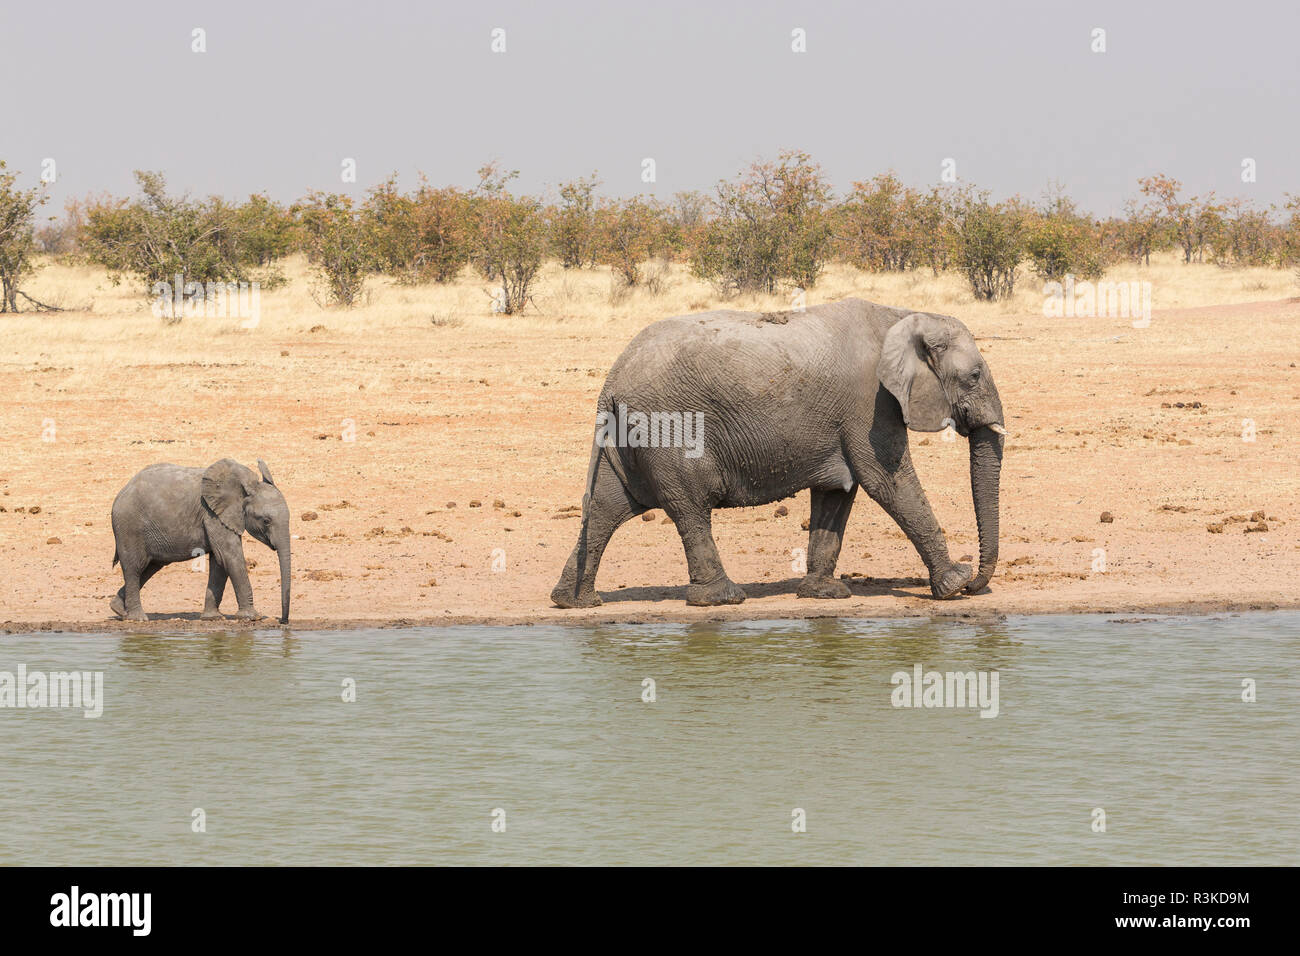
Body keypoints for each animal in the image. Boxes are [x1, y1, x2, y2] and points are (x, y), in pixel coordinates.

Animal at [111, 460, 292, 624]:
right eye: (266, 521)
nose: (283, 621)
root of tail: (122, 492)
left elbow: (219, 562)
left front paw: (213, 618)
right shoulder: (212, 514)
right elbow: (229, 557)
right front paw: (252, 617)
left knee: (150, 567)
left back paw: (119, 610)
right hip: (129, 526)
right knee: (135, 568)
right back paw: (138, 619)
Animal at [548, 299, 1003, 608]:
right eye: (973, 376)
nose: (978, 584)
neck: (904, 316)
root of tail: (611, 380)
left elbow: (838, 493)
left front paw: (824, 594)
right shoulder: (869, 404)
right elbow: (888, 482)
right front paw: (954, 584)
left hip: (628, 437)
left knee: (605, 508)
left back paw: (574, 601)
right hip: (668, 429)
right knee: (689, 508)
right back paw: (723, 598)